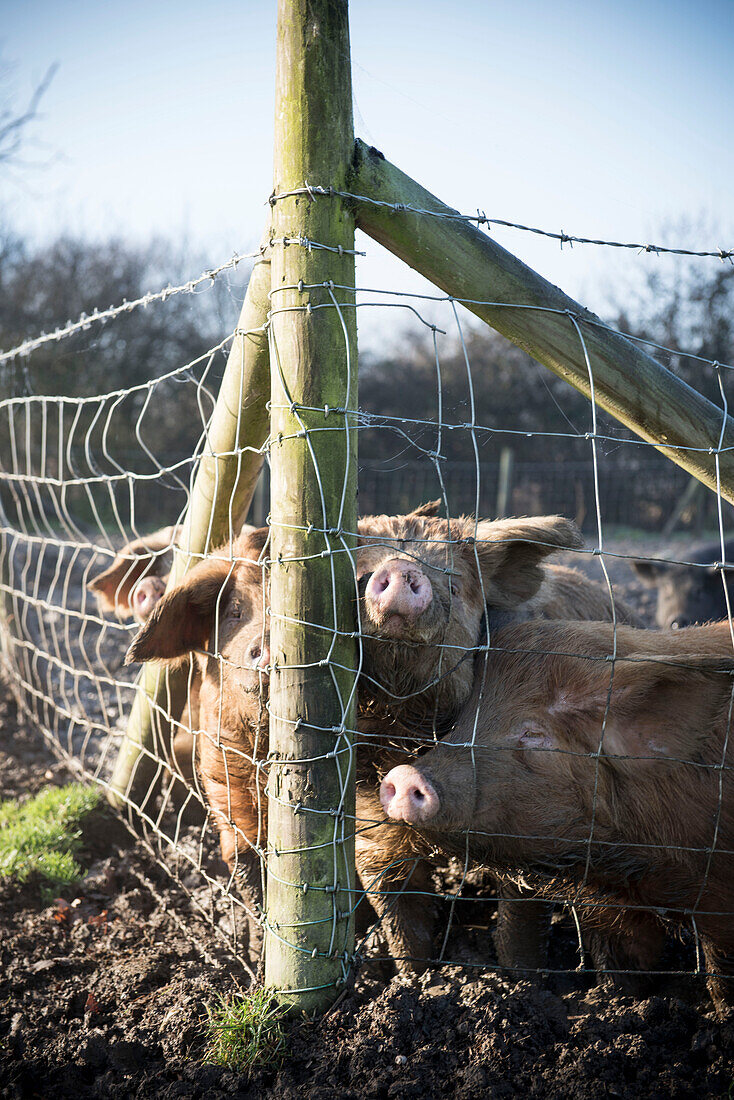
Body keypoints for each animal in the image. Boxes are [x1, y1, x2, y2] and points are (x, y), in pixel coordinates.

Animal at [382, 620, 734, 1012]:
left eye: (533, 733)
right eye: (460, 723)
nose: (404, 774)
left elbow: (721, 979)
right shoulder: (614, 908)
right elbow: (624, 965)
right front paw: (621, 1003)